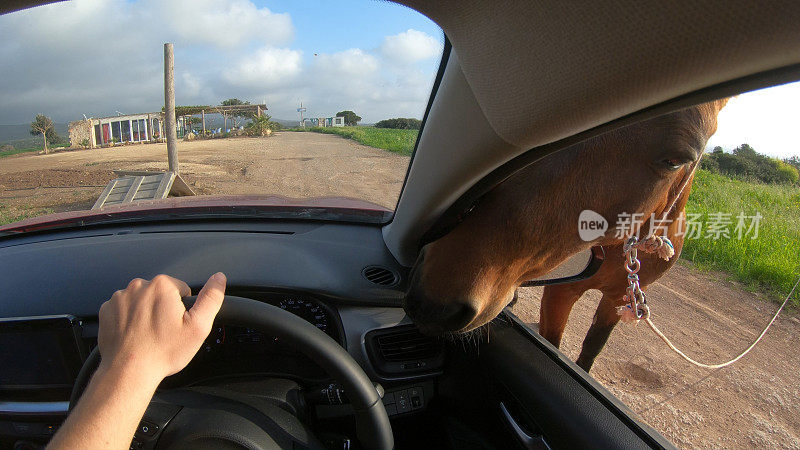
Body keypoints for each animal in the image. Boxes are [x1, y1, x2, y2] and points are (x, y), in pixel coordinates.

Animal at [404, 98, 728, 362]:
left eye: (674, 160)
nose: (434, 301)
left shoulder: (618, 298)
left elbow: (592, 347)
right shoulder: (562, 290)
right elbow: (553, 340)